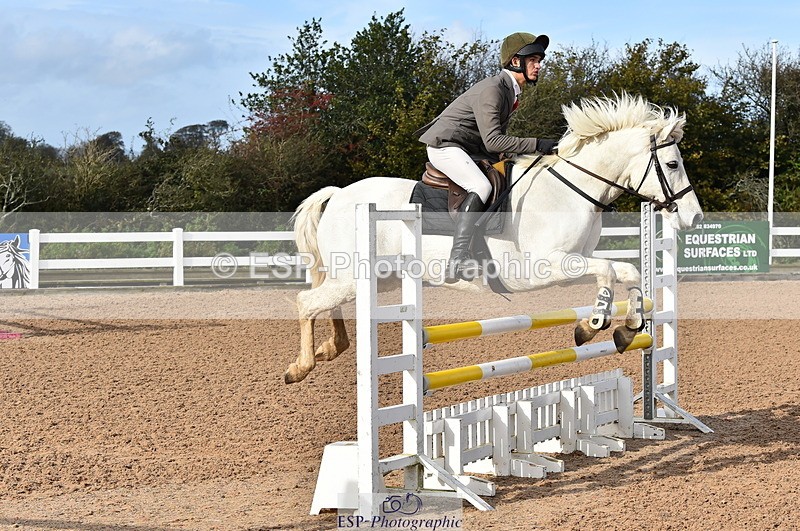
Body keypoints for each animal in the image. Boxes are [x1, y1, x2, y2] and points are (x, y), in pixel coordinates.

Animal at [284, 93, 703, 384]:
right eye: (672, 164)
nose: (694, 217)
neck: (569, 189)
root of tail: (339, 194)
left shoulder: (575, 260)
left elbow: (627, 272)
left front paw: (626, 329)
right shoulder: (545, 267)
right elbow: (608, 273)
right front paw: (594, 324)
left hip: (376, 279)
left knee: (327, 302)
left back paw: (330, 347)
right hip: (356, 276)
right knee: (306, 302)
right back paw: (301, 366)